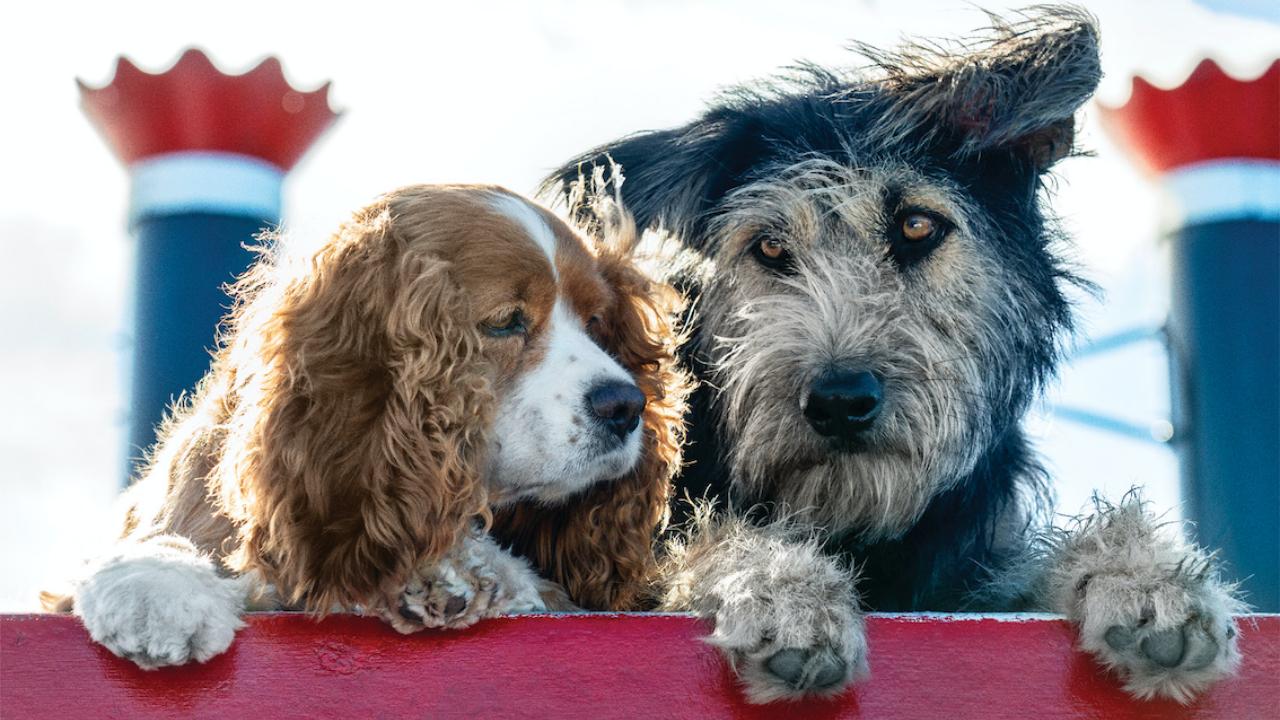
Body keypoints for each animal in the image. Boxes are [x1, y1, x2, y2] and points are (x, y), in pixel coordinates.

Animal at [40, 183, 686, 666]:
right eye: (505, 321)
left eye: (598, 323)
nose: (626, 406)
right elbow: (157, 539)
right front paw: (155, 585)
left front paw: (457, 573)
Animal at [555, 4, 1244, 702]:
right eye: (769, 247)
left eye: (917, 226)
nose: (839, 401)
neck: (857, 525)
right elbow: (697, 544)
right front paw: (779, 587)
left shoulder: (967, 578)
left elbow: (1024, 568)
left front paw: (1141, 574)